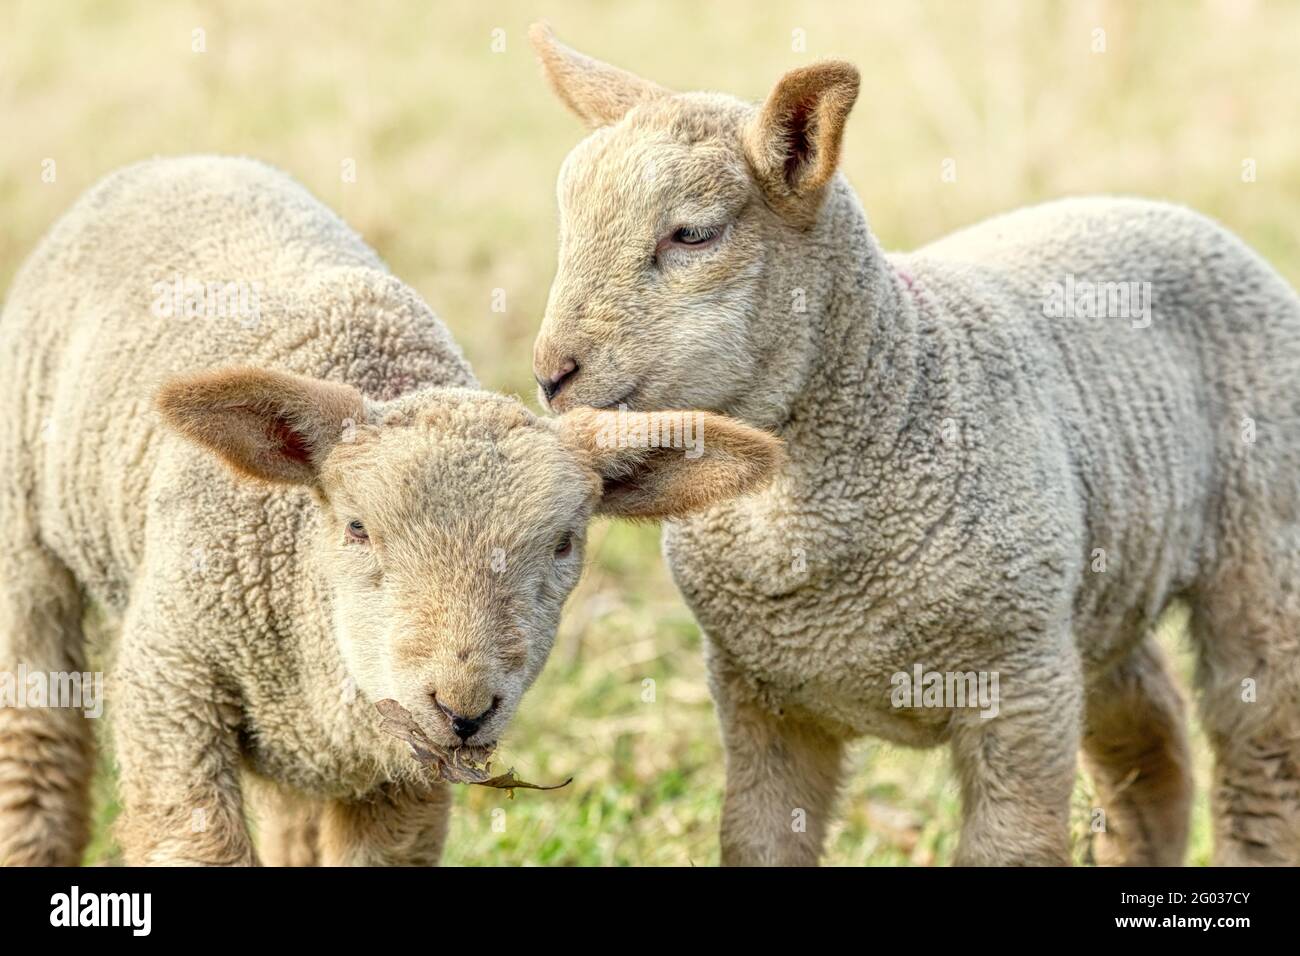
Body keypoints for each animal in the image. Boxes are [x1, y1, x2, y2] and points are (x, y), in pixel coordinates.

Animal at [0, 157, 780, 868]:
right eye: (356, 528)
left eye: (564, 544)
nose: (464, 710)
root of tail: (184, 160)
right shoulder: (171, 689)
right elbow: (196, 844)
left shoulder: (401, 778)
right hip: (25, 546)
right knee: (36, 748)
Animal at [527, 26, 1300, 868]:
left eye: (691, 234)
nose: (550, 374)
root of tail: (1158, 205)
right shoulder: (759, 698)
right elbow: (757, 840)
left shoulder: (1021, 690)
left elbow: (1012, 849)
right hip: (1097, 588)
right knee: (1150, 731)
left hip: (1260, 557)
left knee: (1261, 751)